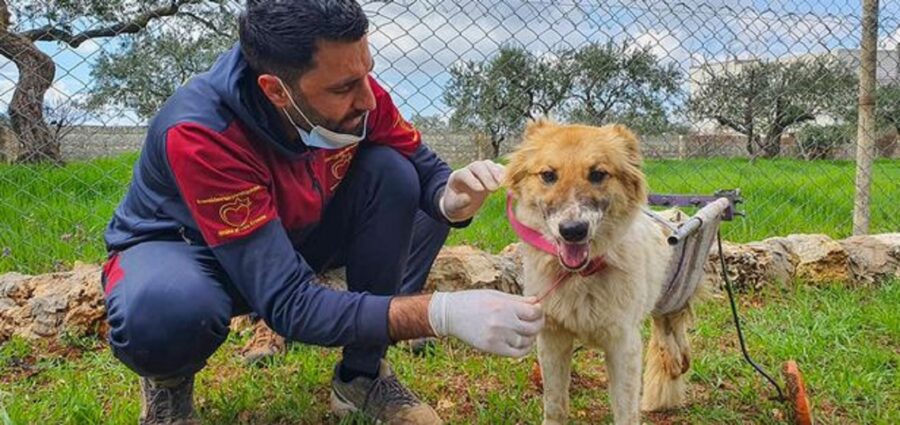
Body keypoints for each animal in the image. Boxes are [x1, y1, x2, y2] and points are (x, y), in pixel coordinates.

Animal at [506, 118, 696, 424]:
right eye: (548, 175)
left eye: (597, 174)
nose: (573, 231)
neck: (581, 276)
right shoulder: (552, 338)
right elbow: (555, 405)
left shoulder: (624, 345)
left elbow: (625, 411)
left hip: (673, 299)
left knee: (674, 335)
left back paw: (676, 362)